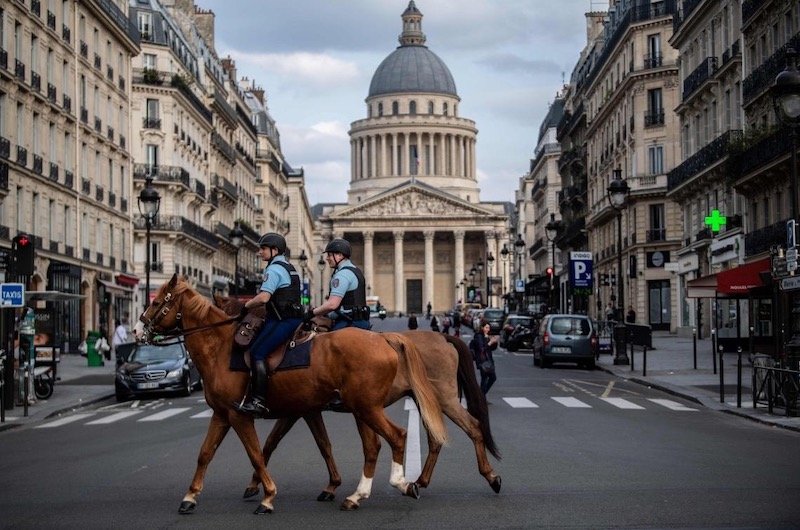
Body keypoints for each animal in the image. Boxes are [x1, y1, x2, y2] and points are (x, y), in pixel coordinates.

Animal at [138, 274, 450, 512]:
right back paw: (365, 493)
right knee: (382, 444)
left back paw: (401, 484)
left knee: (398, 436)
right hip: (364, 407)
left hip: (367, 407)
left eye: (157, 302)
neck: (222, 349)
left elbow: (257, 452)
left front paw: (267, 496)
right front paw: (190, 497)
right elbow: (207, 453)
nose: (140, 330)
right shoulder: (228, 413)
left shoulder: (242, 415)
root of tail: (384, 338)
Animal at [212, 292, 500, 500]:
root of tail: (443, 337)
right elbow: (277, 443)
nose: (239, 340)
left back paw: (490, 477)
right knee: (437, 438)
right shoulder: (301, 410)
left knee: (473, 427)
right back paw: (421, 481)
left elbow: (270, 444)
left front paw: (256, 485)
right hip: (424, 399)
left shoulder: (299, 409)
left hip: (442, 398)